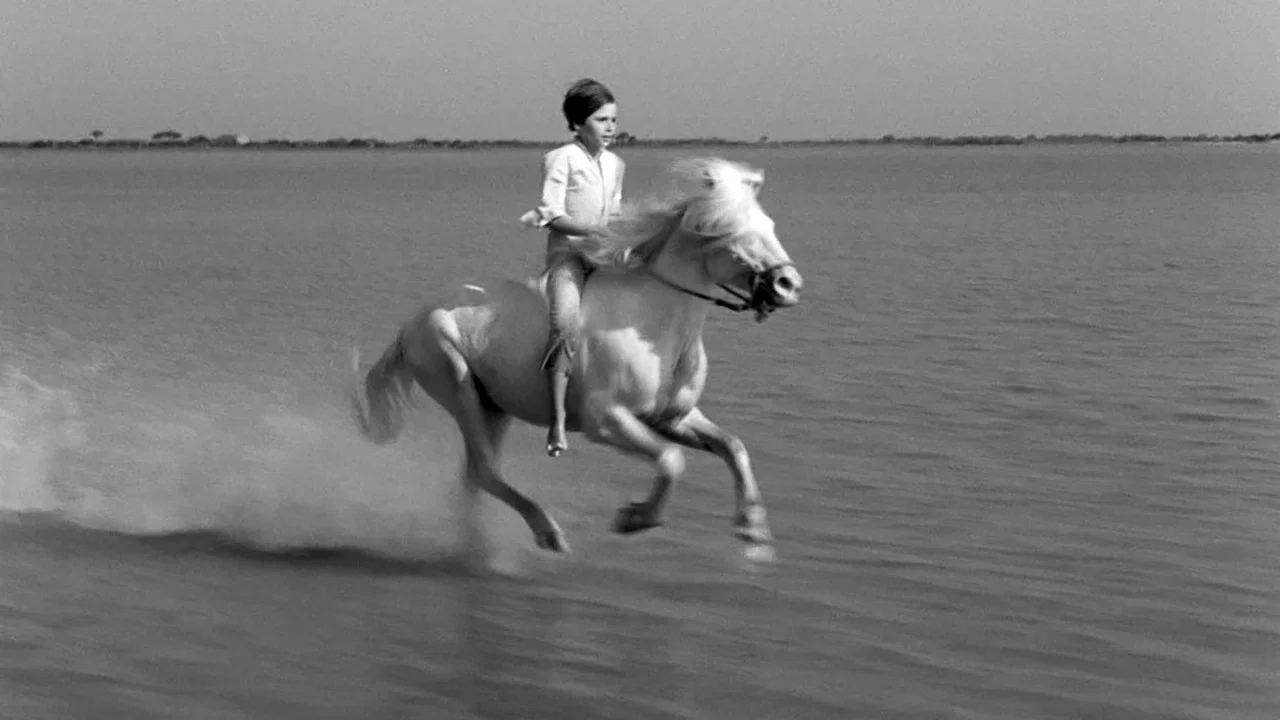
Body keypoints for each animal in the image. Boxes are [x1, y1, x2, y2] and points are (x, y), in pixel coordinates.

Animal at [349, 157, 803, 561]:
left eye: (770, 226)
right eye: (729, 230)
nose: (789, 285)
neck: (656, 326)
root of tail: (409, 326)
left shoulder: (672, 418)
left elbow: (734, 447)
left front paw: (754, 532)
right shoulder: (607, 421)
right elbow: (672, 462)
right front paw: (632, 518)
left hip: (494, 407)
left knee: (474, 477)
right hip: (456, 385)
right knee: (484, 471)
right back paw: (548, 533)